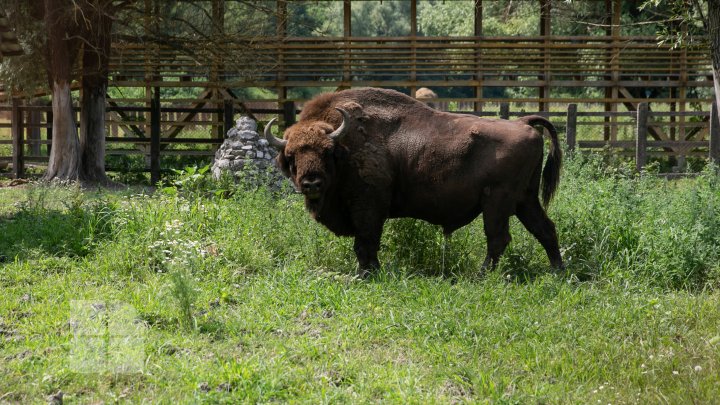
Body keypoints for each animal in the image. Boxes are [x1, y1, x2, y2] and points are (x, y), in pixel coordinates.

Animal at [264, 87, 564, 276]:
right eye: (291, 155)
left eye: (327, 151)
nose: (311, 184)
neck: (345, 146)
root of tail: (523, 123)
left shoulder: (368, 207)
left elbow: (365, 243)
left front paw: (366, 274)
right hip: (525, 200)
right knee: (545, 229)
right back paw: (558, 271)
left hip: (497, 202)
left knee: (498, 238)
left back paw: (481, 276)